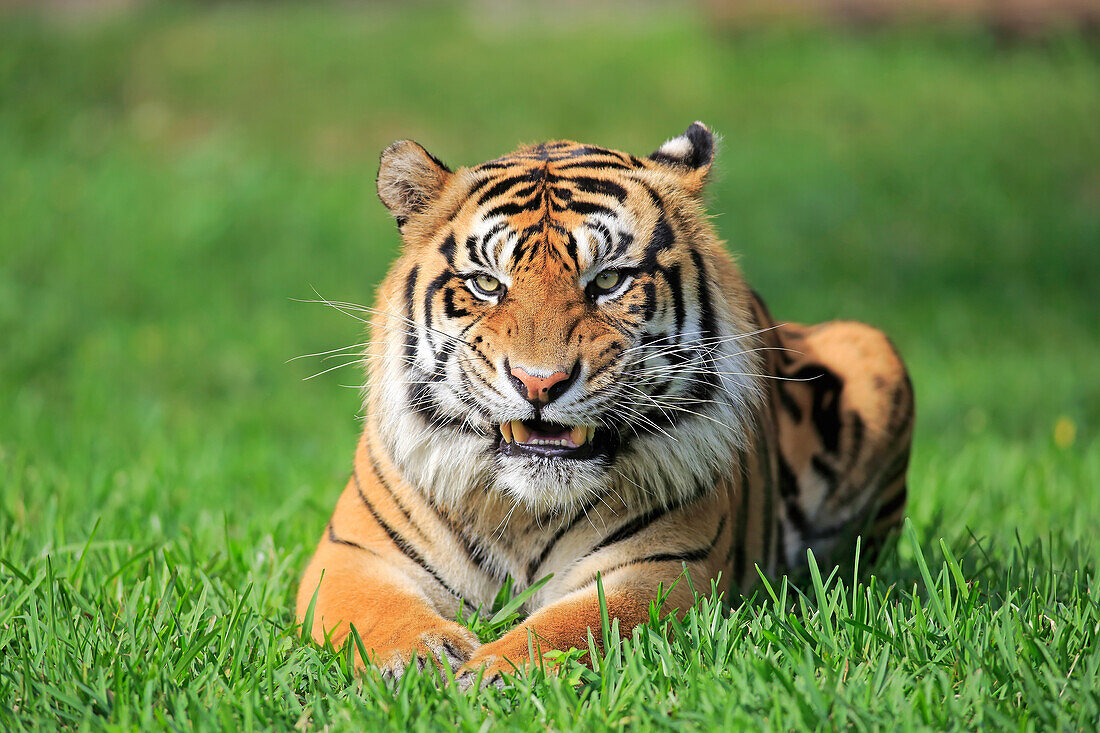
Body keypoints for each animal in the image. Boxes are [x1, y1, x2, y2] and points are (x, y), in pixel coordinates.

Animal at [297, 121, 915, 686]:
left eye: (609, 280)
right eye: (488, 285)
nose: (539, 382)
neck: (525, 515)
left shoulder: (663, 568)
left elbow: (577, 624)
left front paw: (496, 671)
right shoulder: (353, 554)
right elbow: (375, 612)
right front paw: (422, 662)